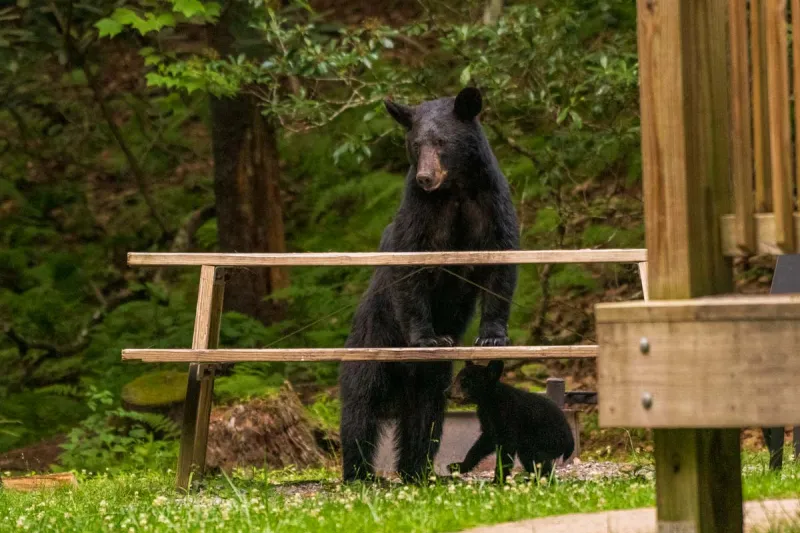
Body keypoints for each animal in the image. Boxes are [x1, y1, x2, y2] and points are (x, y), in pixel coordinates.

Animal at [338, 87, 520, 483]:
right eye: (415, 143)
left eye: (441, 142)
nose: (425, 176)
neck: (455, 189)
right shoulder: (420, 214)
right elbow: (411, 272)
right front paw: (428, 337)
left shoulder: (491, 204)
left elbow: (500, 266)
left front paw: (492, 336)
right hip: (372, 344)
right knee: (360, 411)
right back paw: (360, 472)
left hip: (433, 380)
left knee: (426, 419)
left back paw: (417, 469)